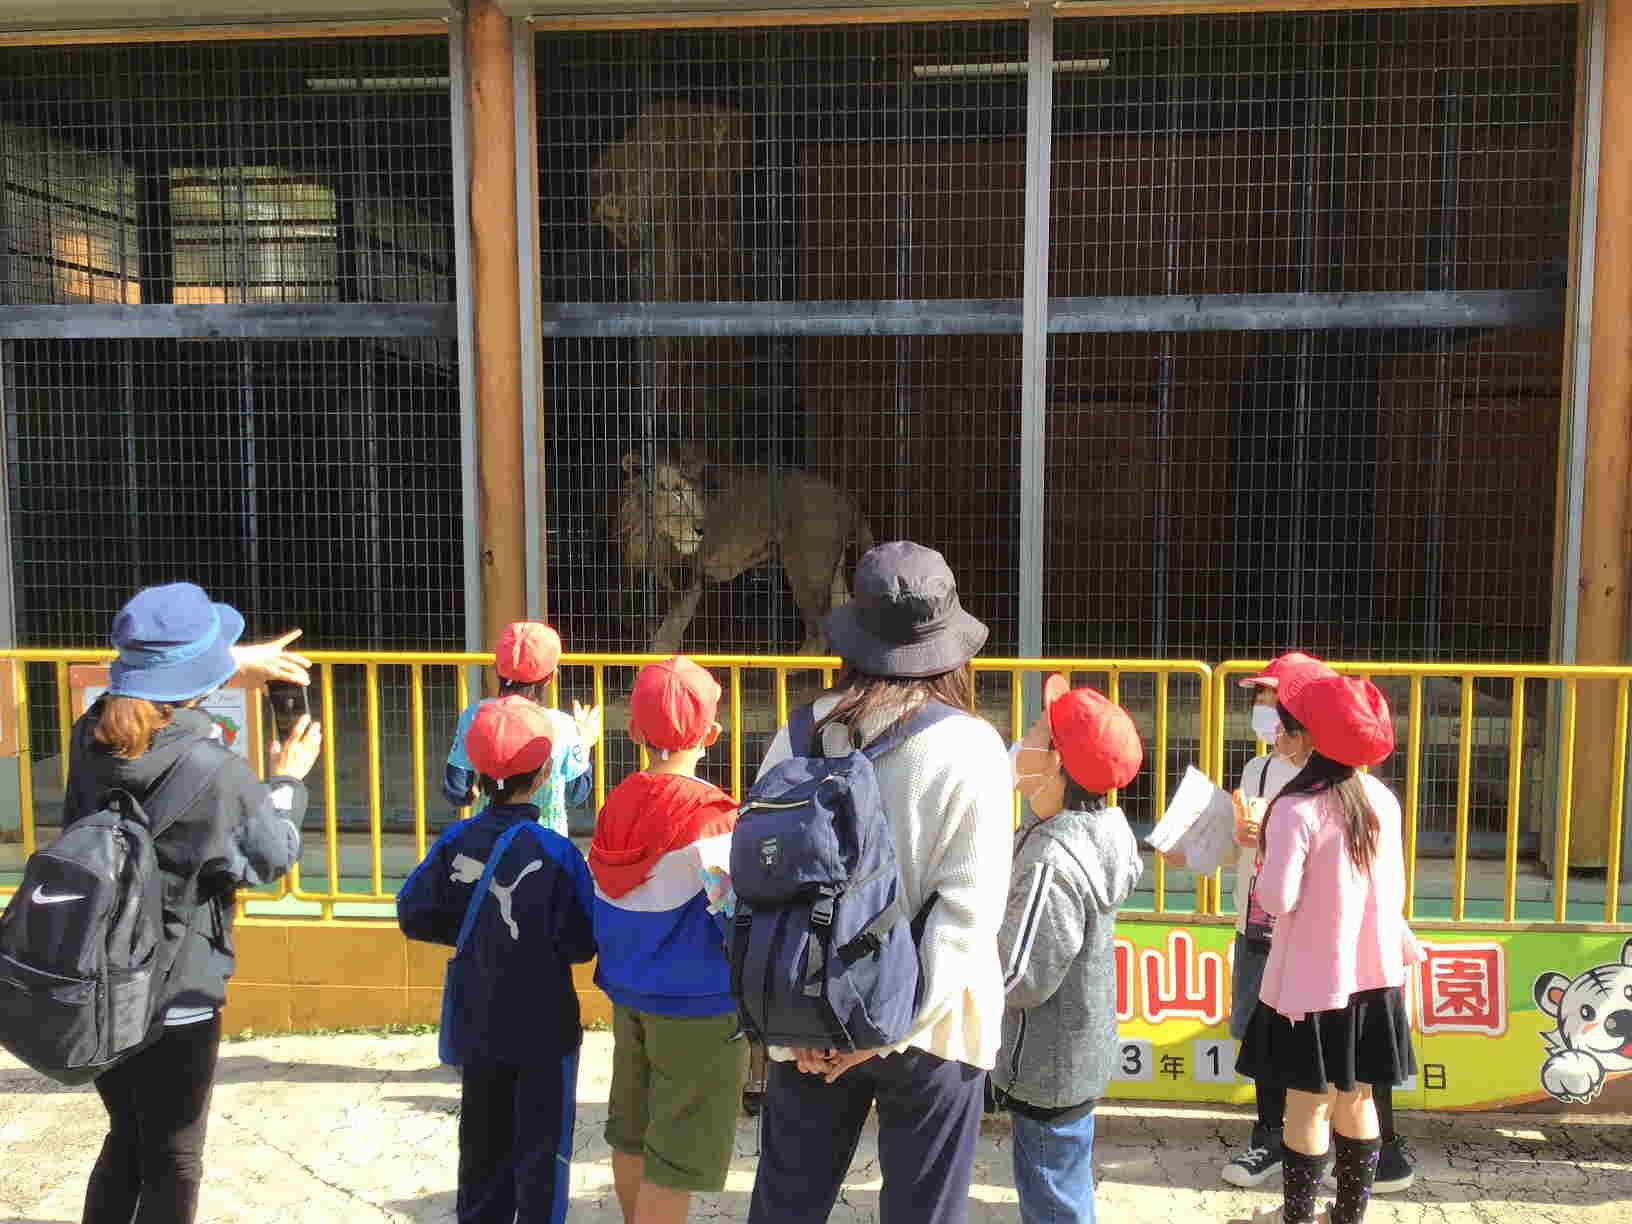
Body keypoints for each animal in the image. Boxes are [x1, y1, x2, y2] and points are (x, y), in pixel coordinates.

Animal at [613, 450, 874, 656]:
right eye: (675, 492)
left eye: (689, 492)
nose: (702, 528)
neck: (651, 531)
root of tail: (844, 496)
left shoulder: (691, 578)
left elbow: (665, 636)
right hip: (832, 569)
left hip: (807, 569)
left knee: (818, 632)